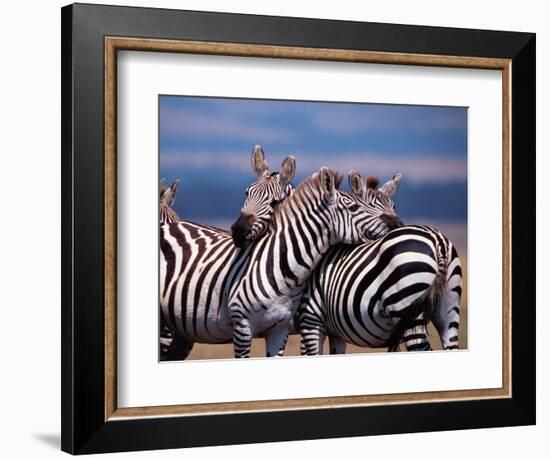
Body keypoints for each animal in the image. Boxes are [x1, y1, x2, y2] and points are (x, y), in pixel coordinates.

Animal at [298, 175, 466, 354]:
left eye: (394, 206)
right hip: (449, 305)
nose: (397, 225)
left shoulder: (311, 319)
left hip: (407, 308)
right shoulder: (335, 332)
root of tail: (437, 241)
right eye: (369, 207)